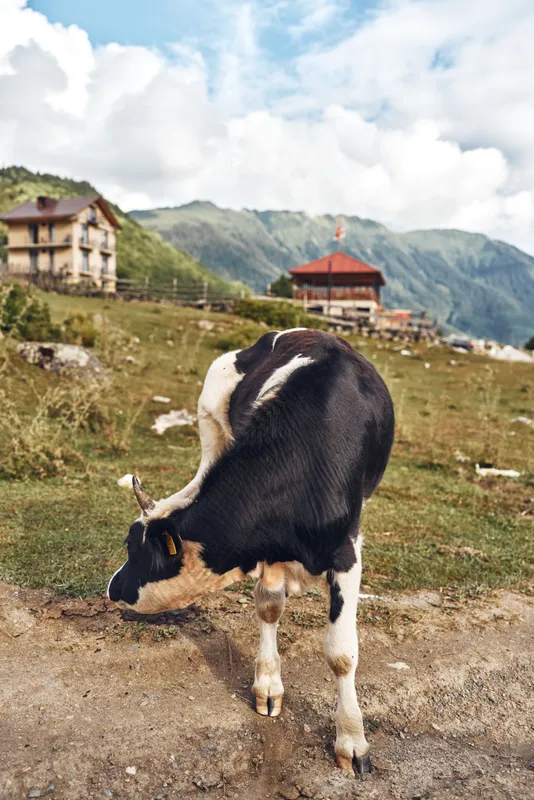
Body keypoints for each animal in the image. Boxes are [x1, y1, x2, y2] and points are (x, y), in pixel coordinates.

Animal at [107, 328, 394, 774]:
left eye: (131, 546)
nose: (112, 587)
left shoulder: (346, 551)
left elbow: (341, 653)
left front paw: (352, 740)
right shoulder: (268, 544)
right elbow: (269, 607)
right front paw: (268, 685)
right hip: (212, 427)